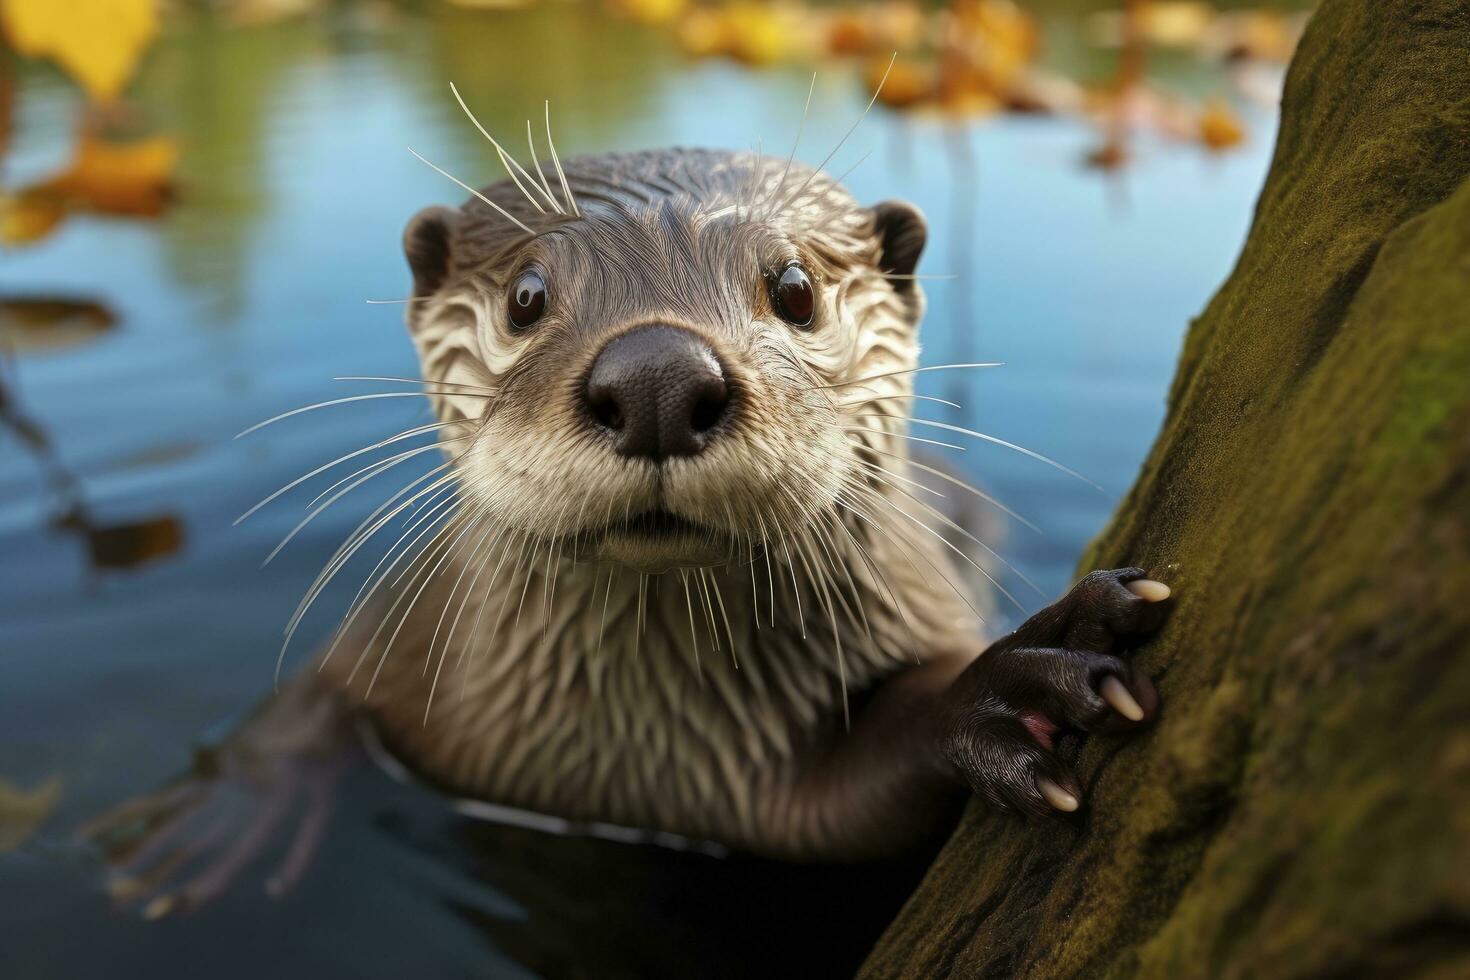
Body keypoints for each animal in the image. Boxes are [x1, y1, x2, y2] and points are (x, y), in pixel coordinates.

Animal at [91, 139, 1170, 910]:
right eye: (526, 295)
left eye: (794, 289)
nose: (657, 377)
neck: (630, 765)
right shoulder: (406, 631)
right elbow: (316, 687)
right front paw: (219, 811)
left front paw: (1011, 682)